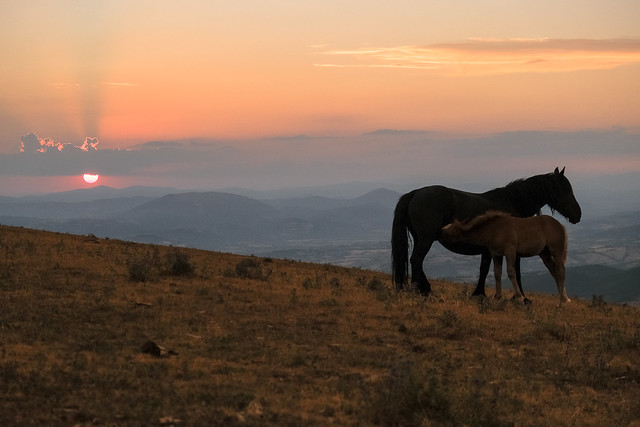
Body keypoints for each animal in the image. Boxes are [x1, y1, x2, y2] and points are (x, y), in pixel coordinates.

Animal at [392, 168, 584, 298]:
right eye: (565, 190)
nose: (578, 215)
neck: (513, 201)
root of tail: (415, 193)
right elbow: (515, 270)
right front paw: (521, 297)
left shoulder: (490, 250)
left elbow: (484, 269)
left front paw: (479, 293)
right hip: (426, 239)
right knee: (416, 260)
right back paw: (422, 290)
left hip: (419, 238)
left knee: (416, 261)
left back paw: (425, 288)